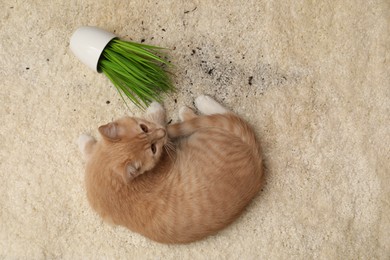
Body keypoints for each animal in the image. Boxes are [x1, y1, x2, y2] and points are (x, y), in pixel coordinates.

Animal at [77, 95, 264, 244]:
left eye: (143, 127)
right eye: (153, 149)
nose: (162, 132)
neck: (113, 178)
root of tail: (256, 161)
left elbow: (89, 148)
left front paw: (83, 140)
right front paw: (156, 109)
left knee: (228, 117)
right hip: (206, 135)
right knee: (224, 118)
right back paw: (195, 106)